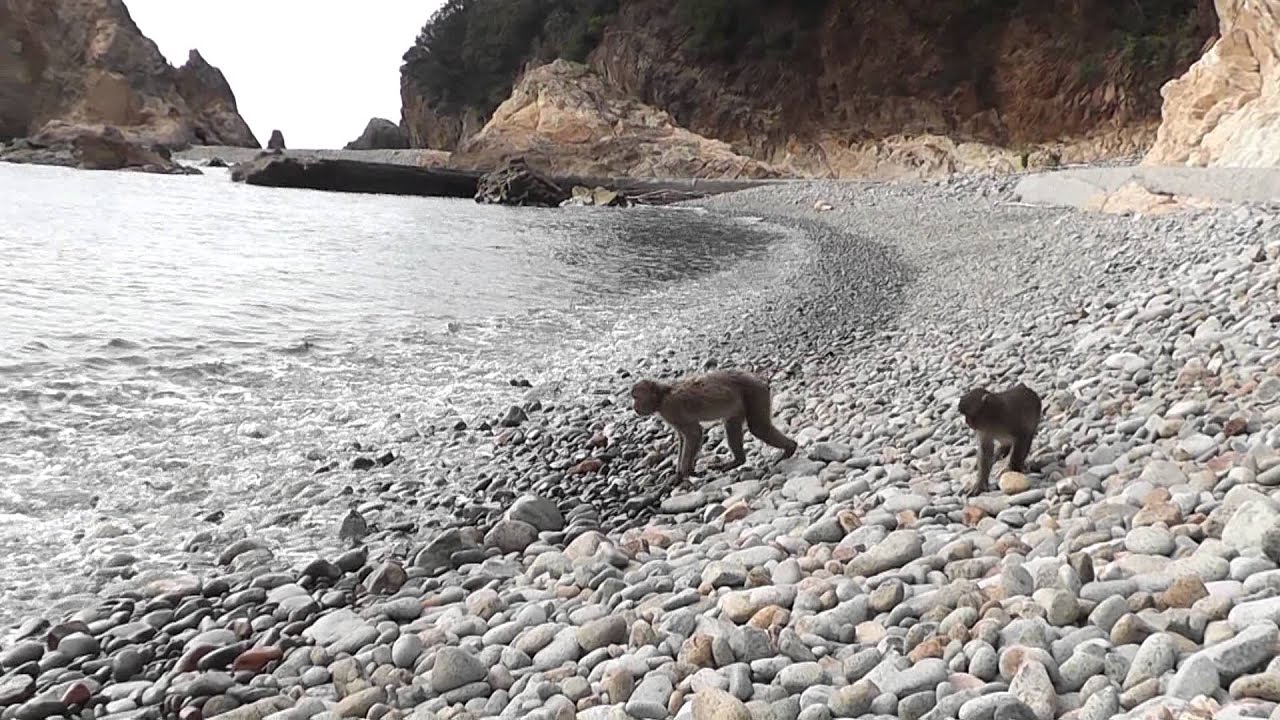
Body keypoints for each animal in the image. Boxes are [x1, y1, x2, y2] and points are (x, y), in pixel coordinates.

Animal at [630, 369, 798, 482]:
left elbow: (694, 433)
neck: (662, 395)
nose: (634, 407)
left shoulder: (671, 407)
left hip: (755, 393)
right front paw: (680, 473)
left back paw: (790, 448)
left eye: (636, 397)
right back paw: (738, 461)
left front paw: (684, 473)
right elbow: (684, 438)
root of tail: (759, 380)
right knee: (732, 424)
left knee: (758, 428)